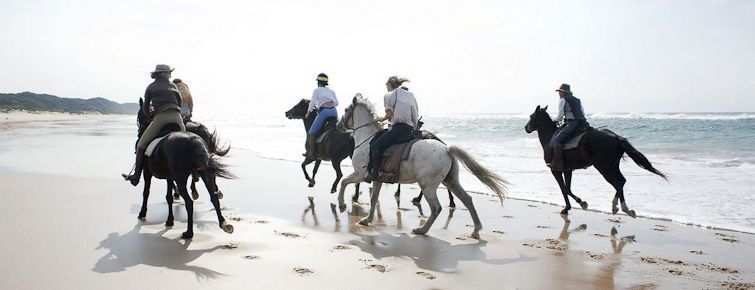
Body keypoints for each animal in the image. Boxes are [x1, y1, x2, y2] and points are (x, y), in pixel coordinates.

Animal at [133, 101, 233, 239]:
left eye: (139, 116)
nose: (139, 133)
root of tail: (195, 141)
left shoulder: (147, 172)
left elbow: (146, 192)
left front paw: (142, 213)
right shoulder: (169, 177)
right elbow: (168, 197)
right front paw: (170, 220)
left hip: (181, 178)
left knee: (189, 202)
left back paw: (189, 232)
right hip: (204, 172)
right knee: (213, 196)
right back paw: (223, 222)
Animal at [336, 94, 508, 238]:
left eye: (345, 110)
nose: (338, 125)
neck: (367, 139)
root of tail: (446, 149)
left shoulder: (360, 173)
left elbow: (344, 182)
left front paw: (342, 205)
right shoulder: (377, 178)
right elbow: (373, 199)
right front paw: (367, 220)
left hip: (428, 186)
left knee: (436, 208)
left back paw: (421, 230)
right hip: (451, 181)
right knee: (467, 200)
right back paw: (476, 230)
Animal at [524, 105, 668, 216]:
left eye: (531, 116)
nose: (526, 127)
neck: (550, 138)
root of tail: (616, 137)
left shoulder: (555, 170)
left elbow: (564, 189)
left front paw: (569, 207)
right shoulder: (568, 170)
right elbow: (568, 188)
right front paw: (581, 203)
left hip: (604, 168)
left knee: (618, 183)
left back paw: (623, 208)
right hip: (612, 166)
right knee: (621, 181)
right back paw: (618, 207)